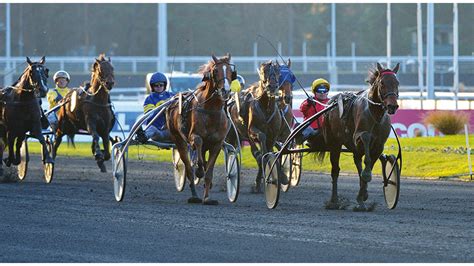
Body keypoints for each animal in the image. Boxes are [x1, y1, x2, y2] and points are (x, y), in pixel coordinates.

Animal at [166, 53, 236, 204]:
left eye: (230, 71)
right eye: (216, 71)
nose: (226, 90)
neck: (211, 110)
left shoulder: (217, 143)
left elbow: (209, 172)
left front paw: (208, 197)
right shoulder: (194, 136)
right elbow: (197, 143)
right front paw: (199, 171)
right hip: (178, 140)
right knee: (188, 167)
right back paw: (194, 195)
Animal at [230, 60, 282, 193]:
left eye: (278, 72)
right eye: (264, 72)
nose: (272, 87)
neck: (266, 109)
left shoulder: (273, 136)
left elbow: (268, 152)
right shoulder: (252, 130)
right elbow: (261, 142)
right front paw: (258, 183)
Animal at [318, 61, 400, 210]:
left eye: (397, 82)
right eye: (382, 83)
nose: (392, 106)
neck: (375, 113)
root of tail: (331, 102)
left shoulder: (379, 145)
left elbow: (370, 163)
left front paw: (362, 196)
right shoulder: (357, 137)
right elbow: (366, 140)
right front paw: (366, 179)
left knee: (357, 162)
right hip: (334, 144)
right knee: (335, 170)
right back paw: (334, 201)